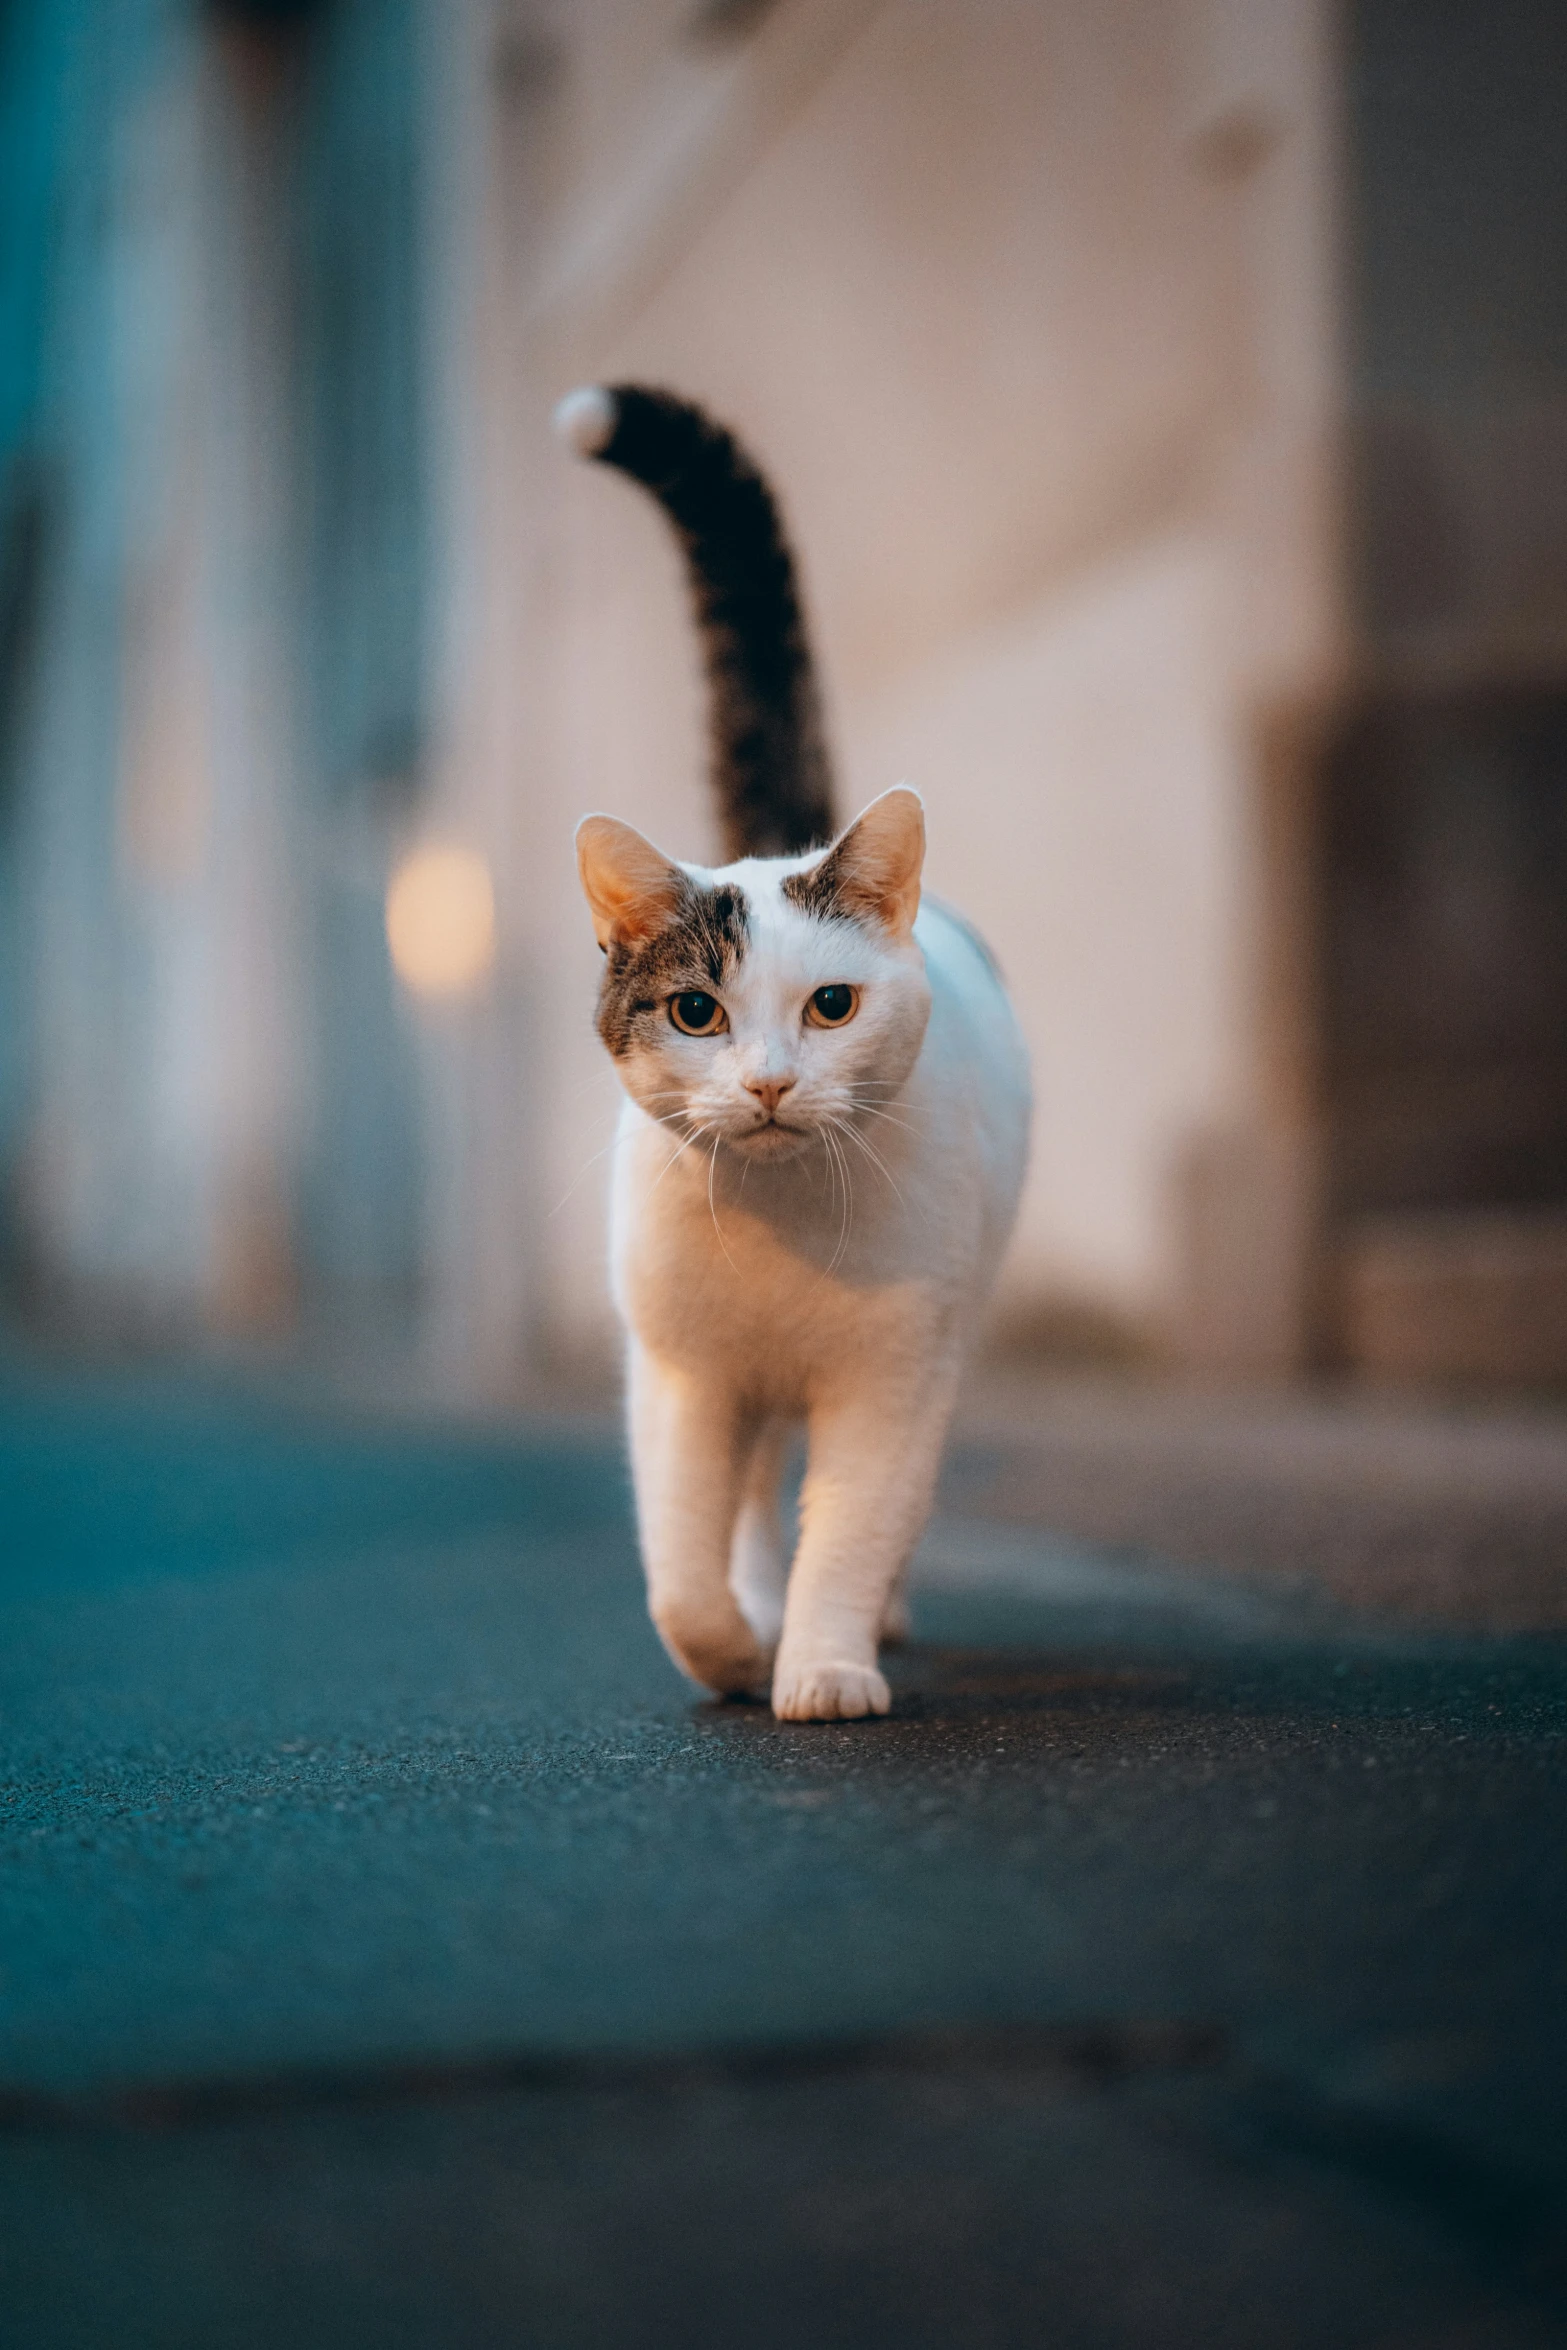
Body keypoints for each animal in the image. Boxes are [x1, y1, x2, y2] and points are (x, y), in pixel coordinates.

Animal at [556, 376, 1033, 1720]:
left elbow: (858, 1524)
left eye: (829, 1006)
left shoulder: (891, 1380)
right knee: (752, 1501)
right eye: (695, 1012)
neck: (778, 1235)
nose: (769, 1081)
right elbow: (680, 1561)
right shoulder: (681, 1380)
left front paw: (823, 1663)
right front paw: (729, 1648)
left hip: (957, 1322)